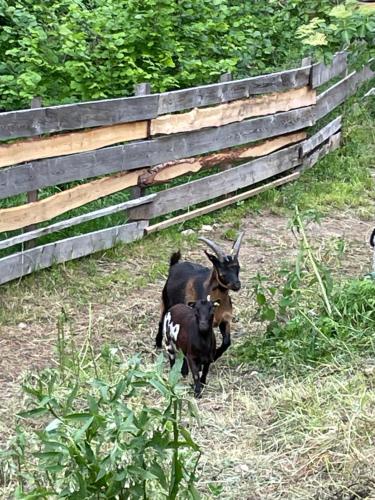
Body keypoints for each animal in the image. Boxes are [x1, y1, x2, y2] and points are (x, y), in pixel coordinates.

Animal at [156, 232, 244, 362]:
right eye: (222, 271)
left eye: (238, 268)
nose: (237, 285)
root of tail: (174, 265)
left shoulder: (225, 320)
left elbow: (227, 342)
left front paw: (215, 356)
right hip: (166, 300)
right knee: (162, 320)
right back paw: (158, 344)